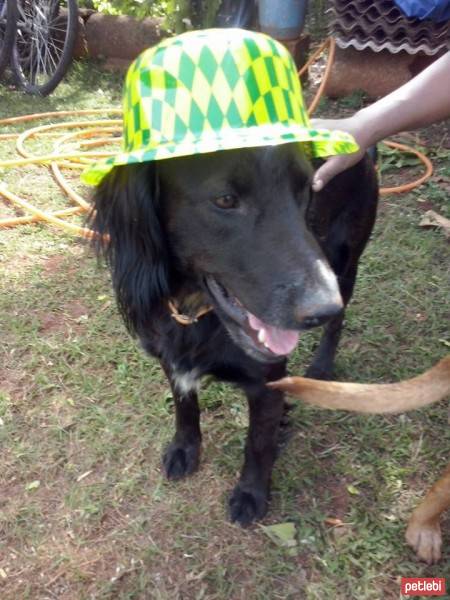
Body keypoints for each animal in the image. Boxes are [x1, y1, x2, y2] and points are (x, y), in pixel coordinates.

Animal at [89, 144, 378, 524]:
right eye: (225, 200)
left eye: (306, 190)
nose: (322, 307)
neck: (195, 311)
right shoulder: (171, 359)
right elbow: (185, 407)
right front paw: (185, 448)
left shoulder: (268, 382)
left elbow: (257, 443)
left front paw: (251, 494)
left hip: (345, 261)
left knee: (338, 323)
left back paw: (321, 367)